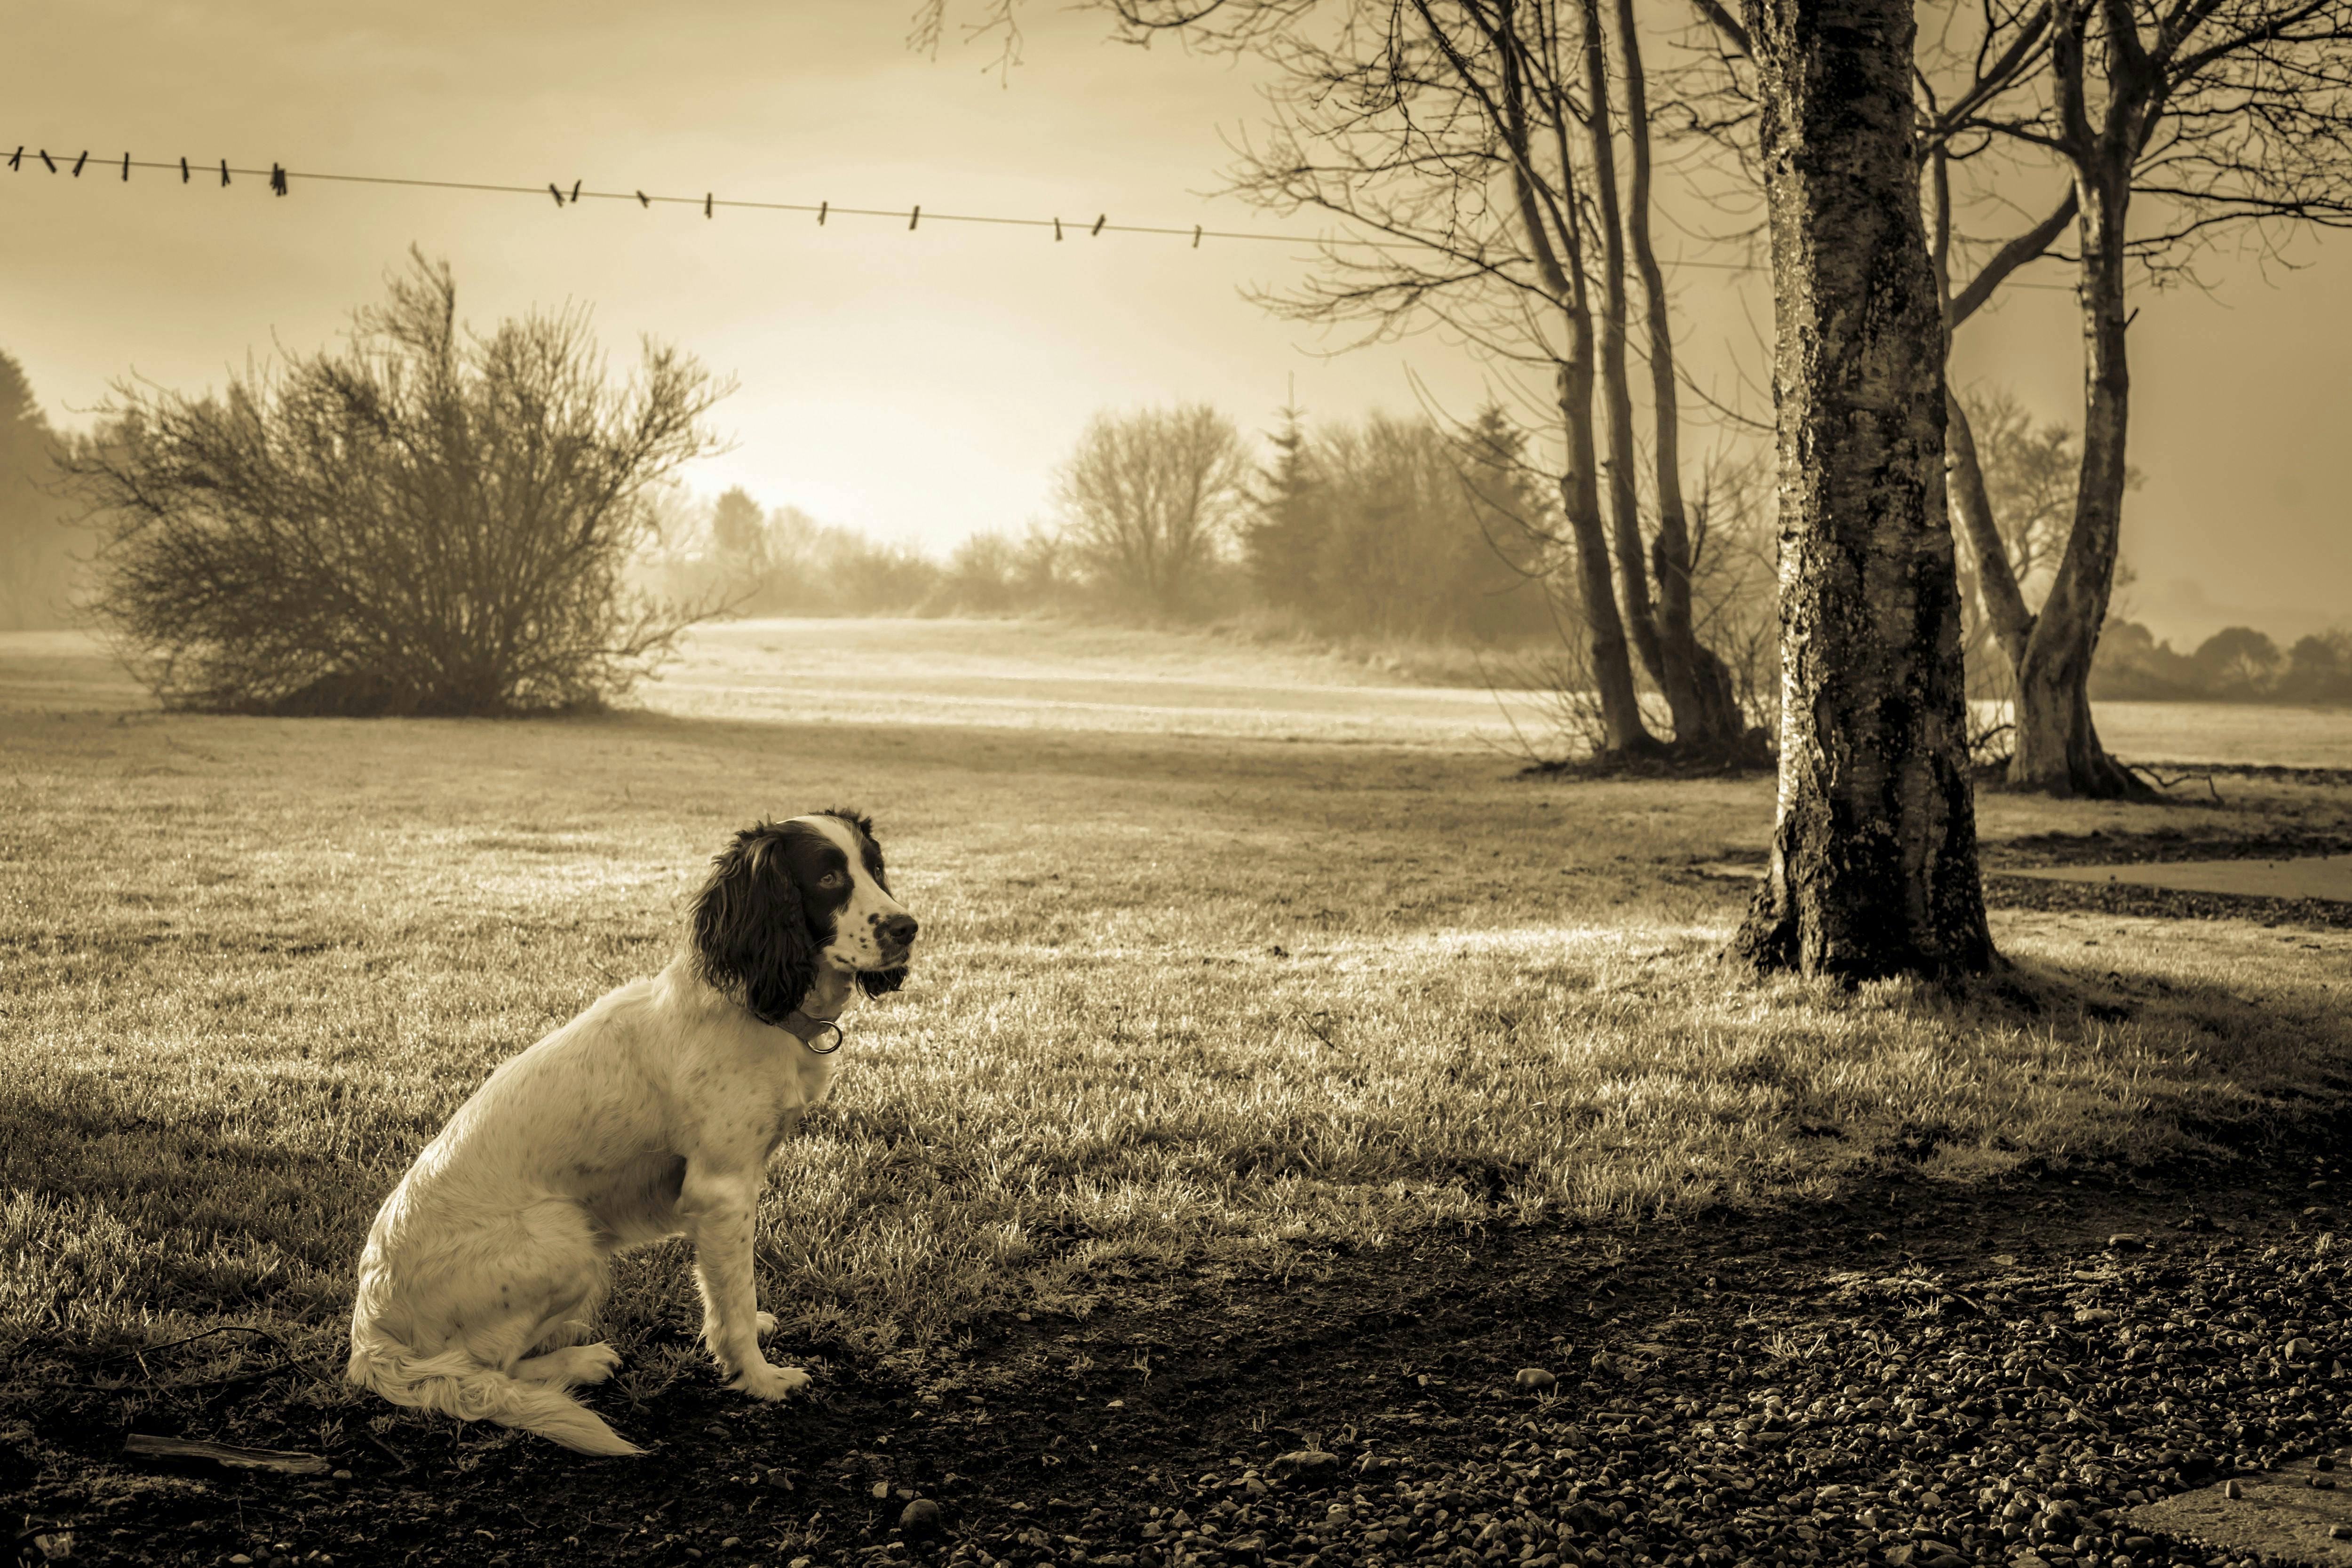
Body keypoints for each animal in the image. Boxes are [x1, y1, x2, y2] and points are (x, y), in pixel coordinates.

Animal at [348, 818, 917, 1457]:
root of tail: (370, 1339)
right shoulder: (721, 1190)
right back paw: (580, 1361)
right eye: (826, 878)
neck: (753, 1005)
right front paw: (760, 1379)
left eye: (874, 867)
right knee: (483, 1369)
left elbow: (733, 1292)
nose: (908, 928)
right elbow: (734, 1299)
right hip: (566, 1237)